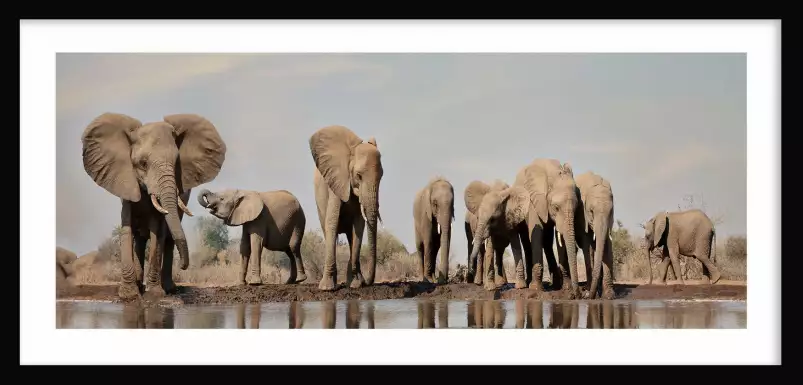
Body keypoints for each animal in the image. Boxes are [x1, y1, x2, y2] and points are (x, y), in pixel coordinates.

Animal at [80, 112, 226, 298]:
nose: (184, 266)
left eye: (177, 163)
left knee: (168, 237)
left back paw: (169, 288)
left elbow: (157, 231)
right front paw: (129, 294)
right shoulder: (126, 184)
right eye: (143, 164)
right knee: (140, 239)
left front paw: (155, 293)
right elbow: (127, 229)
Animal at [310, 124, 384, 290]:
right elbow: (331, 223)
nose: (369, 282)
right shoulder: (336, 182)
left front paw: (355, 285)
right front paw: (327, 288)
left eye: (381, 176)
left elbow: (359, 225)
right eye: (359, 176)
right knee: (327, 230)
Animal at [516, 157, 584, 296]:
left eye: (576, 208)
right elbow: (536, 233)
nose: (577, 294)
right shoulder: (534, 199)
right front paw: (536, 288)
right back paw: (529, 283)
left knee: (547, 241)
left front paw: (565, 287)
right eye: (556, 207)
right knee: (527, 241)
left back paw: (556, 284)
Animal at [576, 171, 620, 300]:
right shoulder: (582, 216)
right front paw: (590, 292)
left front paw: (609, 295)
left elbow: (606, 244)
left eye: (611, 212)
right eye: (591, 211)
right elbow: (587, 245)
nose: (585, 297)